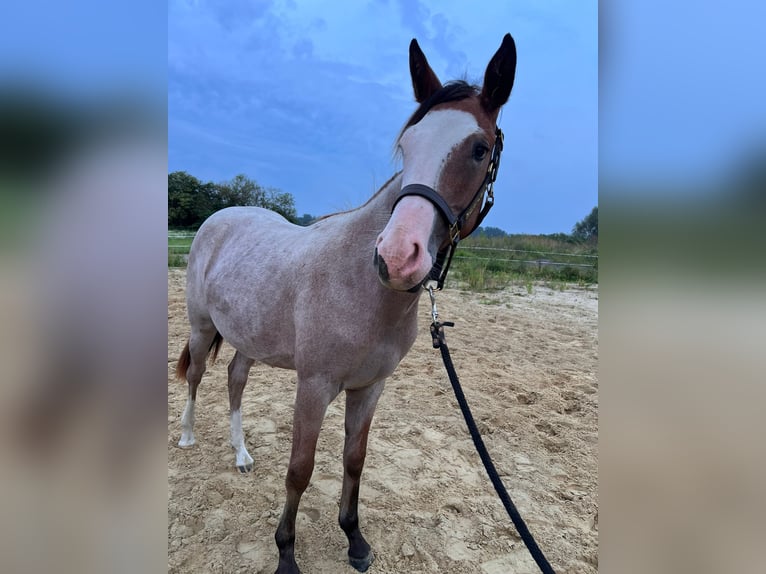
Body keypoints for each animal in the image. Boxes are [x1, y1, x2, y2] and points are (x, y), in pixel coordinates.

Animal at [175, 34, 516, 574]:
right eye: (407, 145)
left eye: (479, 149)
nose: (396, 256)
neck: (363, 289)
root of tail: (221, 216)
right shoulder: (314, 386)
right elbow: (300, 469)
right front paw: (286, 555)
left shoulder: (370, 387)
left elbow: (354, 460)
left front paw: (355, 539)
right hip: (201, 325)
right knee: (195, 375)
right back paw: (188, 436)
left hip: (247, 336)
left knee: (234, 379)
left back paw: (242, 454)